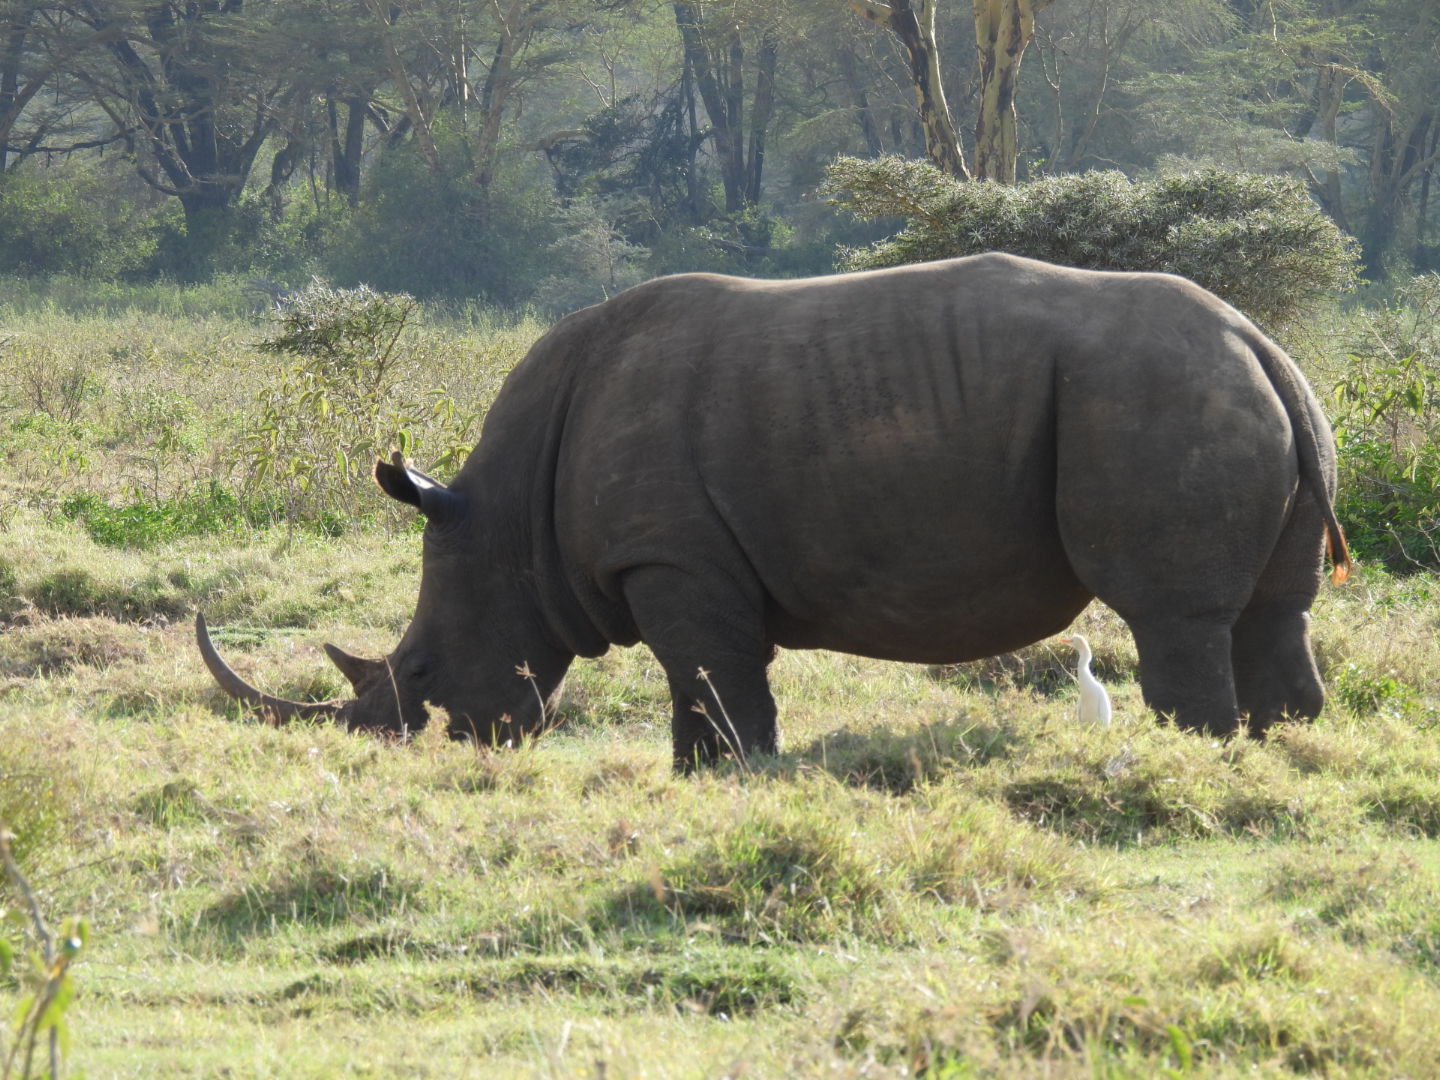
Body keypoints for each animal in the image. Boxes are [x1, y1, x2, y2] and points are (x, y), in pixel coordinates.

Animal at [199, 253, 1350, 768]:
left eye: (425, 672)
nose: (431, 749)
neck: (504, 522)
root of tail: (1263, 344)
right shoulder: (677, 562)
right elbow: (699, 685)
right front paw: (697, 775)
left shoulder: (669, 560)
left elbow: (713, 677)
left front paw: (739, 774)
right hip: (1249, 400)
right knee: (1275, 612)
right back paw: (1281, 754)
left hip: (1160, 400)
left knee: (1173, 615)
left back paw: (1195, 753)